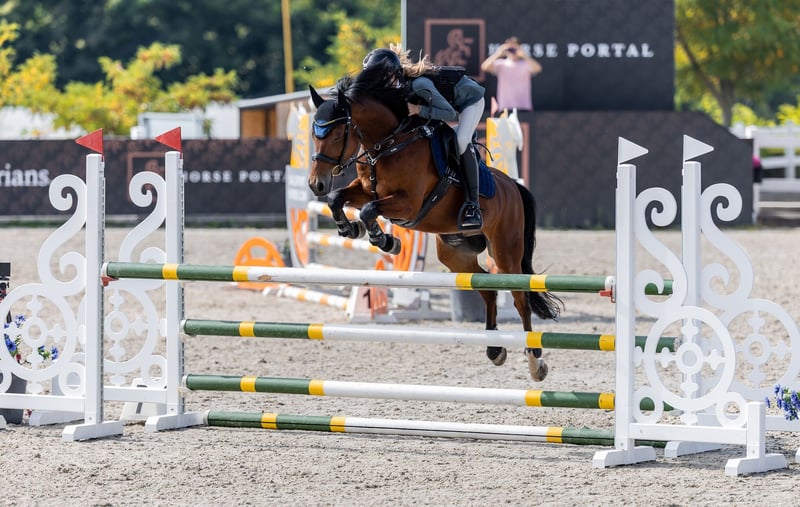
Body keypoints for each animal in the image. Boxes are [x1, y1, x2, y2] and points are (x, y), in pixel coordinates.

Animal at [307, 71, 561, 382]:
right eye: (314, 134)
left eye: (335, 134)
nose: (315, 184)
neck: (388, 144)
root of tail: (513, 186)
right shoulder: (366, 190)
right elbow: (337, 198)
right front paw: (350, 229)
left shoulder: (408, 203)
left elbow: (368, 210)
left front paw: (386, 240)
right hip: (455, 254)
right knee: (487, 288)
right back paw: (494, 350)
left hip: (506, 251)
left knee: (519, 297)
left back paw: (536, 362)